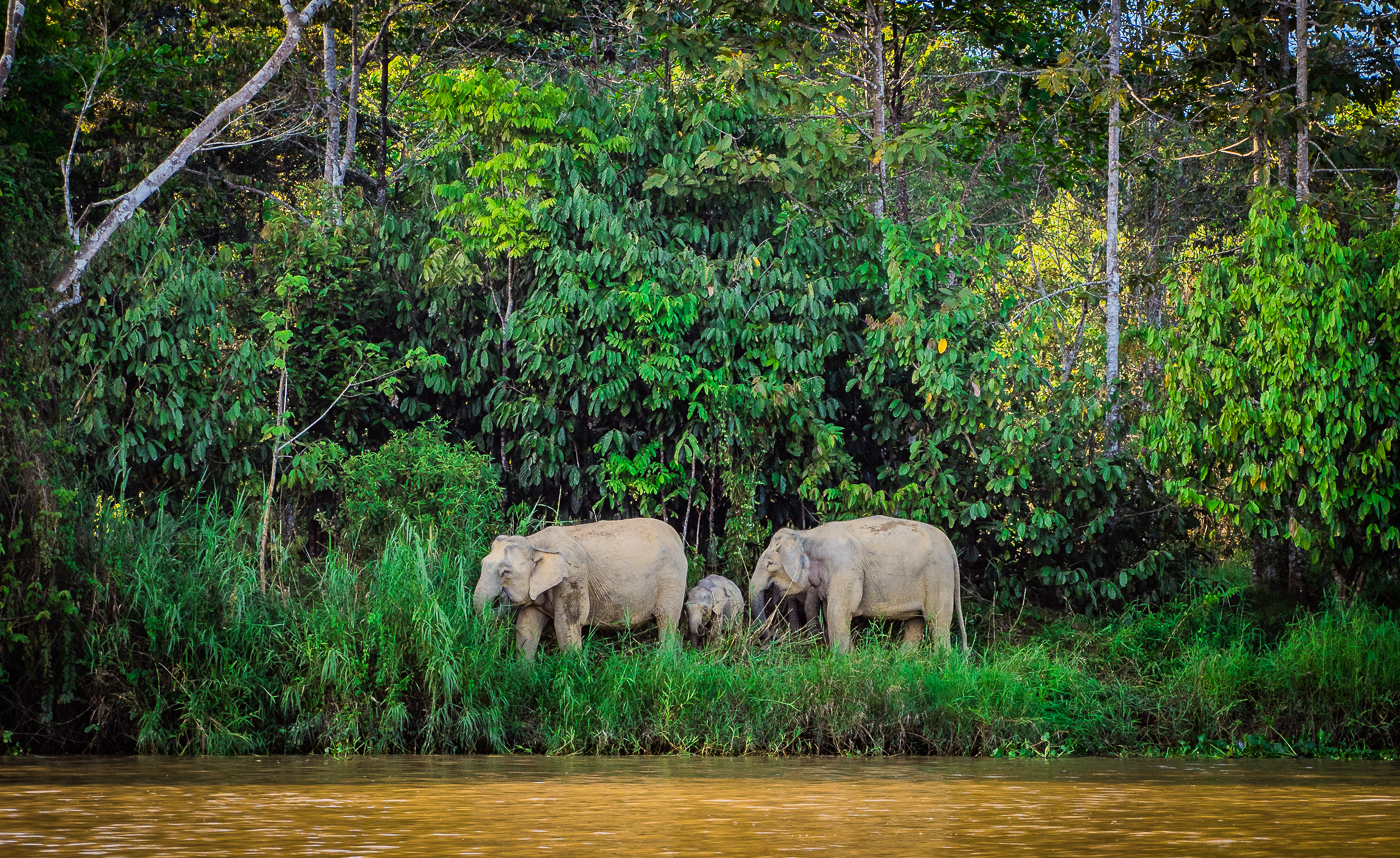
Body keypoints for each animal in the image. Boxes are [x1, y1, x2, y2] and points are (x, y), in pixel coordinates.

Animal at [475, 518, 687, 660]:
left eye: (505, 572)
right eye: (482, 563)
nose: (502, 594)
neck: (535, 544)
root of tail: (678, 539)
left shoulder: (573, 577)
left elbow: (566, 624)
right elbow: (526, 627)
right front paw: (523, 675)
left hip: (672, 581)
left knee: (667, 622)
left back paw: (662, 664)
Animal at [748, 515, 967, 653]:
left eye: (769, 564)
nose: (775, 637)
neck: (807, 535)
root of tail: (949, 545)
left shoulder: (845, 569)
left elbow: (838, 611)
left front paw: (842, 660)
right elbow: (830, 611)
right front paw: (849, 657)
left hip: (938, 575)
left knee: (937, 620)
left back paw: (941, 663)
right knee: (915, 622)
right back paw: (901, 662)